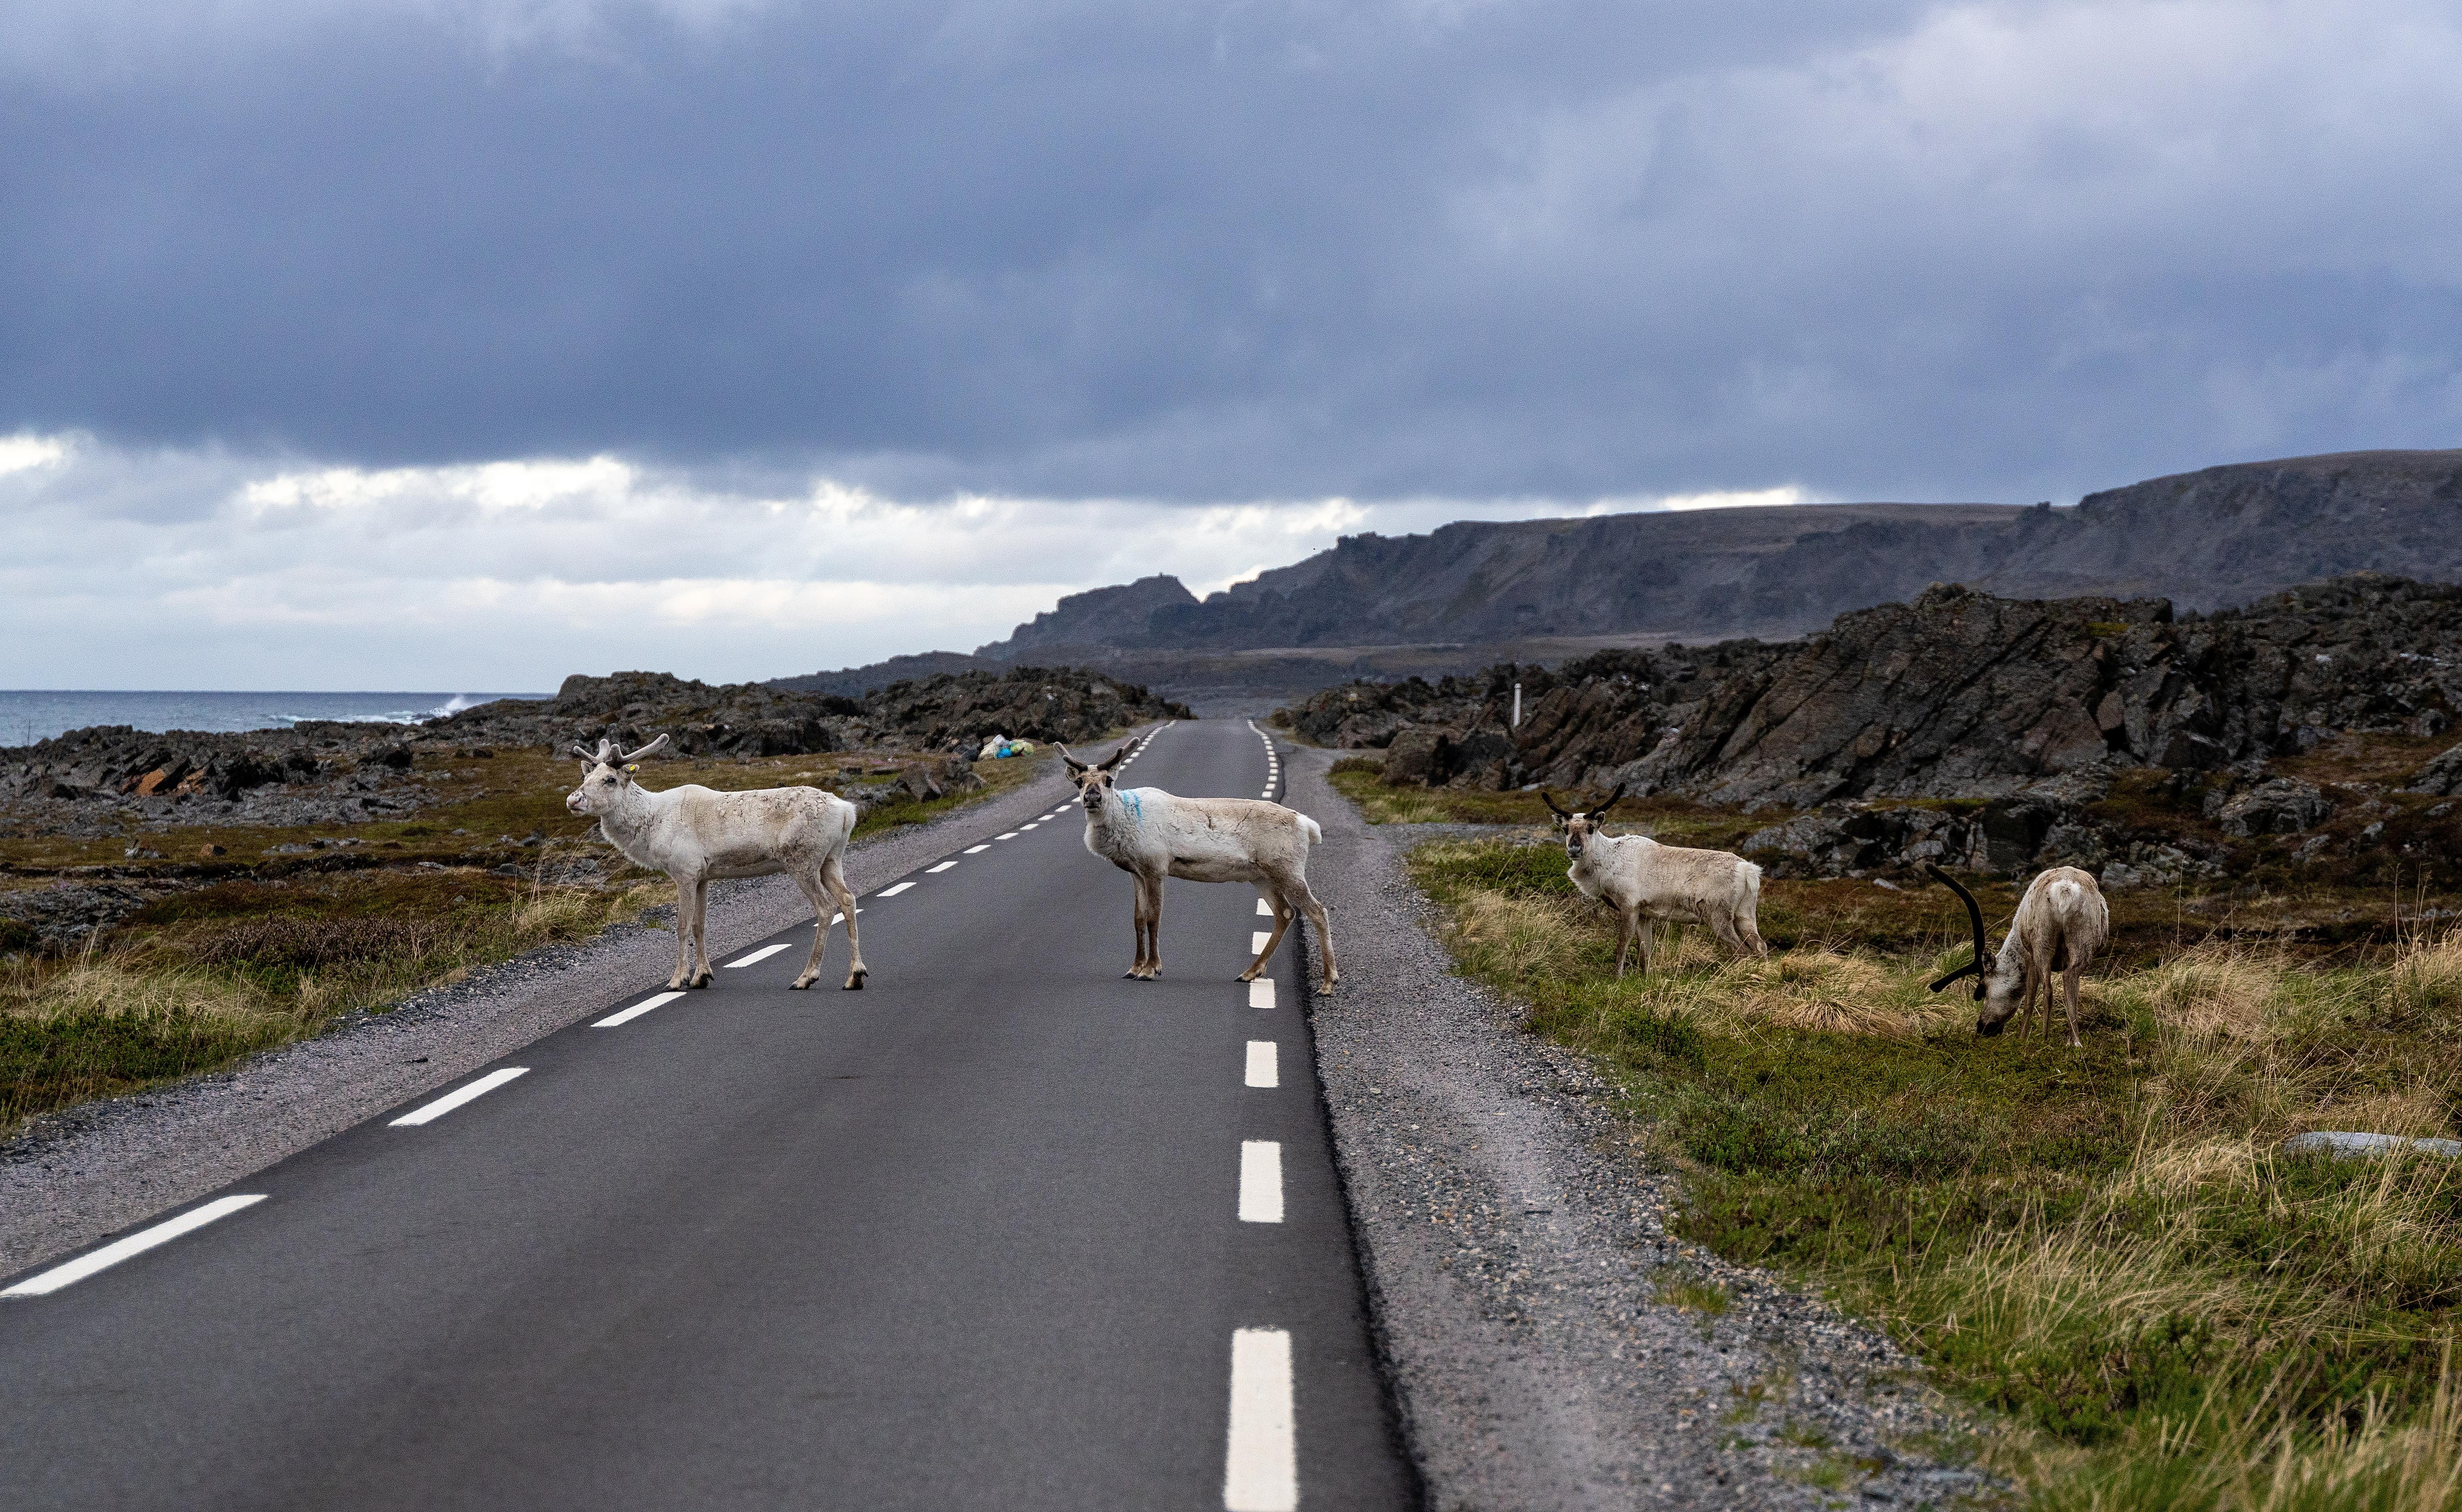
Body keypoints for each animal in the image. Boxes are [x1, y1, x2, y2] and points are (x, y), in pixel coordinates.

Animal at [565, 735, 869, 992]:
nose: (573, 799)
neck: (651, 826)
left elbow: (682, 925)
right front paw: (702, 976)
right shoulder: (703, 876)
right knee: (847, 899)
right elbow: (699, 925)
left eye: (610, 779)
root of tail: (848, 811)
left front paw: (677, 980)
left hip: (803, 861)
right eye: (586, 775)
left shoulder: (685, 871)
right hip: (831, 859)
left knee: (826, 907)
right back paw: (855, 975)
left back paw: (806, 977)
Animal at [1063, 739, 1338, 995]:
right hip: (1262, 876)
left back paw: (1328, 983)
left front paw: (1151, 969)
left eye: (1109, 780)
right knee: (1285, 913)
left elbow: (1154, 918)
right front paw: (1134, 968)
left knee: (1317, 911)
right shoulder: (1137, 873)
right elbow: (1138, 919)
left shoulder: (1155, 868)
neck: (1125, 819)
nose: (1092, 797)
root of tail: (1308, 826)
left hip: (1288, 869)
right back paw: (1250, 973)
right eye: (1079, 782)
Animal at [1545, 784, 1767, 976]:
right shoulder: (1645, 913)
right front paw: (1646, 978)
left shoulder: (1630, 905)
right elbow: (1646, 951)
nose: (1574, 849)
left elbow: (1622, 945)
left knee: (1743, 951)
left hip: (1717, 914)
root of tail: (1749, 871)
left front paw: (1617, 978)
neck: (1607, 862)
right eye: (1566, 829)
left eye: (1591, 828)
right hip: (1745, 914)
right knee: (1760, 945)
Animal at [1925, 863, 2108, 1044]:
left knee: (2048, 989)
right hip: (2081, 943)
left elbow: (2029, 998)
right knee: (2070, 978)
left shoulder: (2029, 956)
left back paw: (2044, 1039)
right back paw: (2074, 1042)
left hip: (2042, 943)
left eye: (1982, 990)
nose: (1982, 1028)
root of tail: (2065, 891)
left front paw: (2022, 1038)